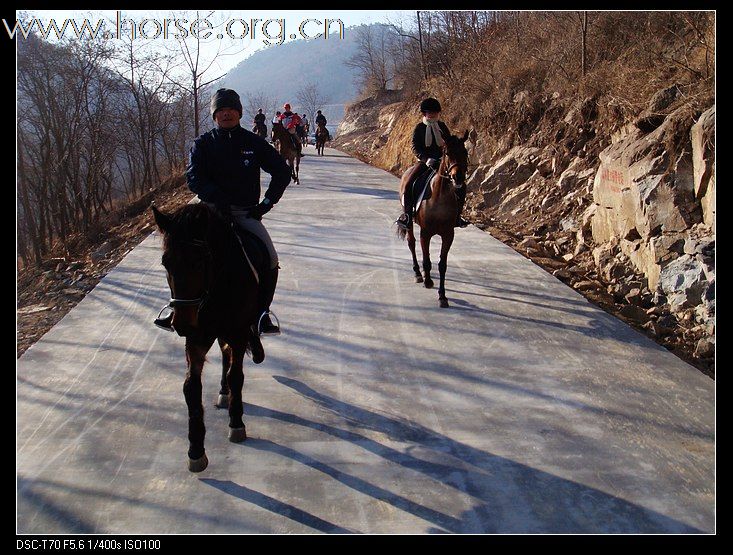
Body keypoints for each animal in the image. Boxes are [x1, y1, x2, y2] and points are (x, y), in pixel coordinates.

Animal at [150, 204, 264, 474]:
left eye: (200, 260)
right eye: (165, 262)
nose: (181, 323)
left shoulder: (238, 332)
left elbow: (236, 376)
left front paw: (236, 423)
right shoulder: (196, 338)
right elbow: (191, 387)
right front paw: (196, 451)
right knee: (224, 352)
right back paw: (223, 392)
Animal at [394, 133, 468, 310]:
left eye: (465, 152)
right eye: (447, 153)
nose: (458, 178)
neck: (439, 198)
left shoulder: (448, 235)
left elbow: (442, 265)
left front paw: (442, 296)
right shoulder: (425, 233)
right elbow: (427, 260)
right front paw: (427, 281)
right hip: (410, 222)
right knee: (412, 243)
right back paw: (417, 273)